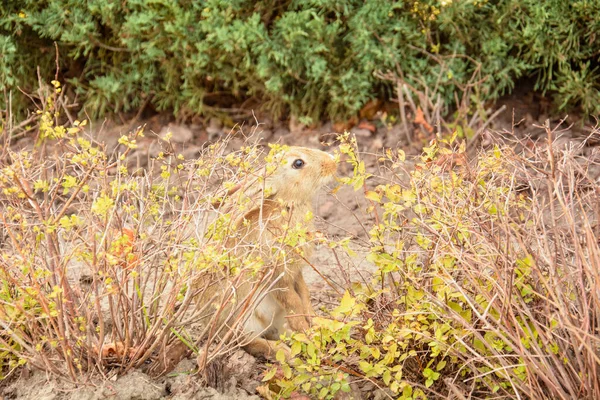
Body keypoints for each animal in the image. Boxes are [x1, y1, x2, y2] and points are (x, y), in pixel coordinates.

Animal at [197, 146, 338, 360]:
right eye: (298, 163)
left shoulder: (296, 272)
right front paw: (308, 334)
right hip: (244, 319)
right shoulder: (278, 276)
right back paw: (286, 353)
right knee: (248, 343)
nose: (333, 160)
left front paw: (315, 324)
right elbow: (294, 303)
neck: (288, 205)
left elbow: (305, 296)